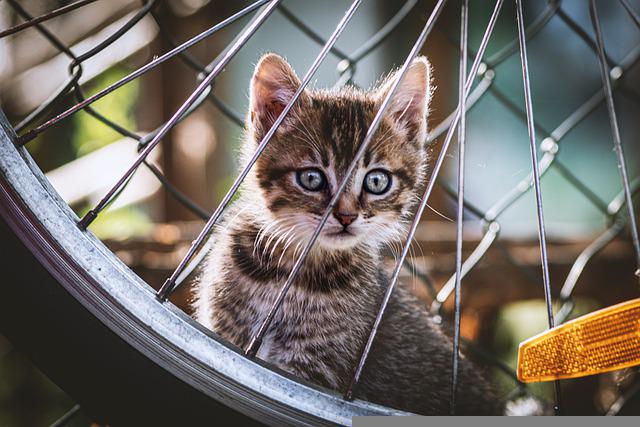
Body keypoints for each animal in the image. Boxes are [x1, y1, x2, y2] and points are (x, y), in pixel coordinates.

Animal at [192, 52, 502, 414]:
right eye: (312, 178)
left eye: (377, 181)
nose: (346, 216)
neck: (291, 274)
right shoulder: (224, 336)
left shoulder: (313, 368)